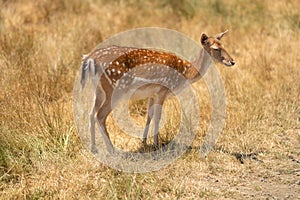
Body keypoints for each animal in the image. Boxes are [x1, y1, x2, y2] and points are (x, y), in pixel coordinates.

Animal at [81, 30, 236, 155]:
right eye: (216, 48)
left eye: (223, 45)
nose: (232, 61)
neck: (185, 73)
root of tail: (89, 58)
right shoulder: (162, 90)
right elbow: (158, 117)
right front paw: (156, 144)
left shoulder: (152, 93)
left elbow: (149, 115)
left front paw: (144, 141)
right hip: (114, 89)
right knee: (100, 115)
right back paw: (112, 150)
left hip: (98, 90)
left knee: (91, 113)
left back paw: (93, 148)